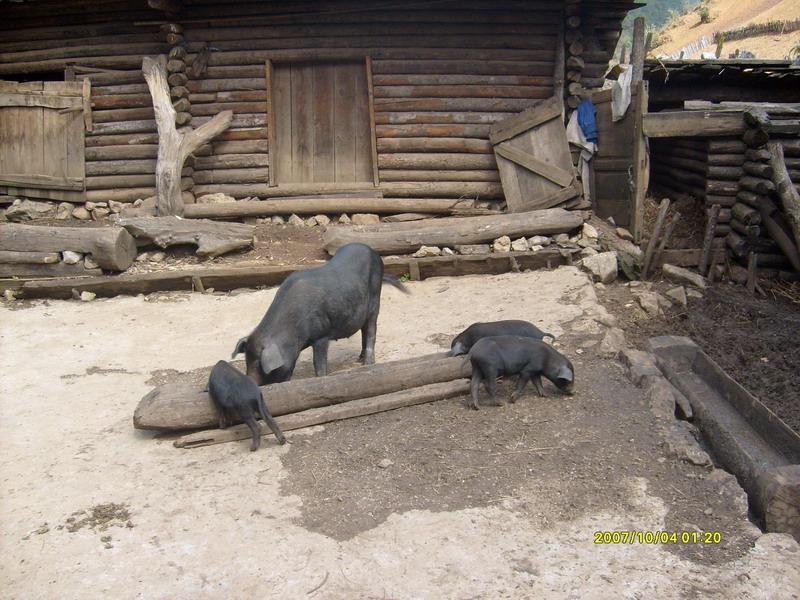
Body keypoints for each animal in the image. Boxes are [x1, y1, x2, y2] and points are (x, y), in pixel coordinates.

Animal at [231, 243, 406, 384]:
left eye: (259, 364)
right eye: (247, 361)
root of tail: (373, 252)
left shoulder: (321, 335)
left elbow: (319, 363)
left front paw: (320, 378)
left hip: (375, 297)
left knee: (371, 330)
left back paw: (367, 364)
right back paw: (360, 359)